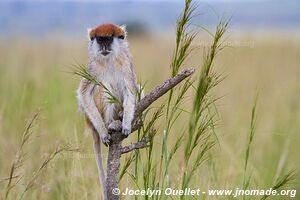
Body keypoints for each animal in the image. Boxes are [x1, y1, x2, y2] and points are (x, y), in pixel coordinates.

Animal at [77, 23, 139, 197]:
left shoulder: (125, 62)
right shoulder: (93, 67)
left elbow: (131, 90)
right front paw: (104, 132)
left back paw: (122, 117)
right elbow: (84, 93)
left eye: (108, 39)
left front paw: (126, 124)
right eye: (100, 39)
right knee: (103, 88)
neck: (109, 59)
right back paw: (110, 124)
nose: (104, 47)